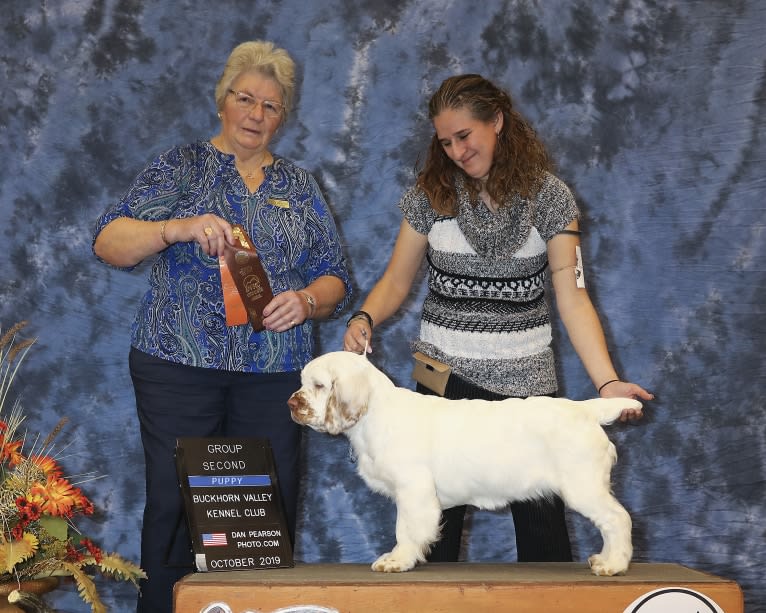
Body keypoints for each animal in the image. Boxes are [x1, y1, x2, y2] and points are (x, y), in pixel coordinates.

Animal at [288, 352, 640, 576]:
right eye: (303, 382)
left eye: (319, 385)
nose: (292, 403)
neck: (375, 414)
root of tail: (585, 410)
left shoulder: (413, 490)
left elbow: (406, 529)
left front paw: (396, 561)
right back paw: (604, 560)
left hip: (583, 487)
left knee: (618, 519)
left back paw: (614, 565)